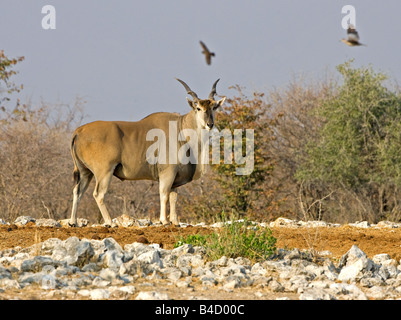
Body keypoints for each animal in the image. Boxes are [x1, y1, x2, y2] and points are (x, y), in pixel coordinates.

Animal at [69, 78, 225, 226]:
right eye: (198, 108)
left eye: (214, 107)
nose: (210, 124)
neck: (181, 129)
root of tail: (79, 131)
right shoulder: (167, 173)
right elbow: (164, 195)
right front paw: (164, 221)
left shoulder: (175, 177)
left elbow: (173, 197)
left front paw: (175, 222)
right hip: (104, 172)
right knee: (98, 194)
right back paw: (110, 223)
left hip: (85, 172)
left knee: (78, 191)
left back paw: (73, 222)